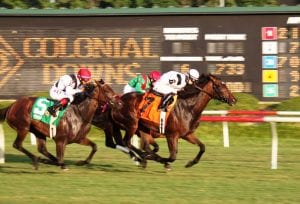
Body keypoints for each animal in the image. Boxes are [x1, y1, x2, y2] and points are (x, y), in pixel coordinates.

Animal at [99, 73, 238, 169]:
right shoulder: (172, 135)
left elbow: (202, 147)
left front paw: (190, 163)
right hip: (132, 124)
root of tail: (115, 101)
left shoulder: (187, 134)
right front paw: (163, 162)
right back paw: (143, 157)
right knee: (126, 142)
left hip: (142, 128)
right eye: (220, 85)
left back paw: (145, 157)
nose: (234, 99)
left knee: (142, 145)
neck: (188, 106)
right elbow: (172, 157)